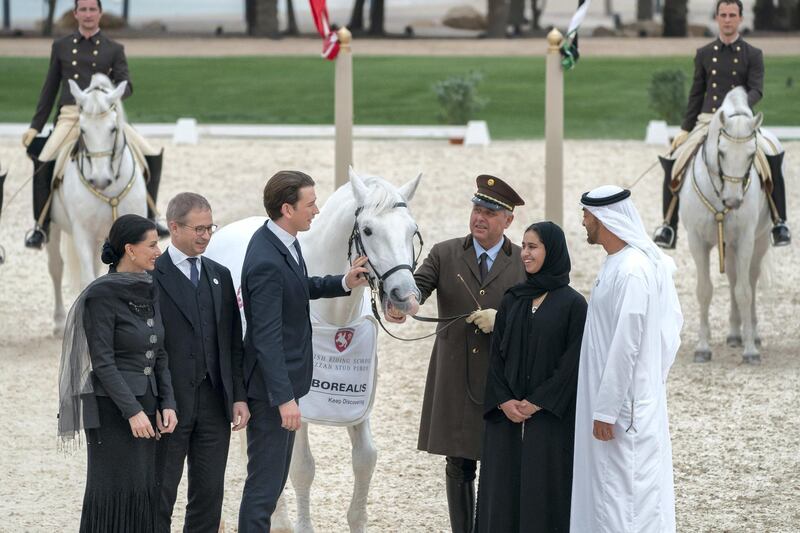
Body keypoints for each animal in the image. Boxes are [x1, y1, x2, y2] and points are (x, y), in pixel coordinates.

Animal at [45, 74, 148, 332]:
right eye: (82, 130)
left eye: (113, 129)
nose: (100, 180)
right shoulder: (83, 233)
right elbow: (88, 279)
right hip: (54, 228)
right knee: (56, 267)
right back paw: (59, 321)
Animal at [680, 87, 784, 364]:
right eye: (722, 152)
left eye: (750, 154)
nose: (733, 201)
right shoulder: (697, 241)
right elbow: (704, 290)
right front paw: (702, 348)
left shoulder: (746, 239)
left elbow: (745, 291)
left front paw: (750, 351)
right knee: (735, 277)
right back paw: (735, 334)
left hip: (758, 241)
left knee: (749, 280)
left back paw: (750, 335)